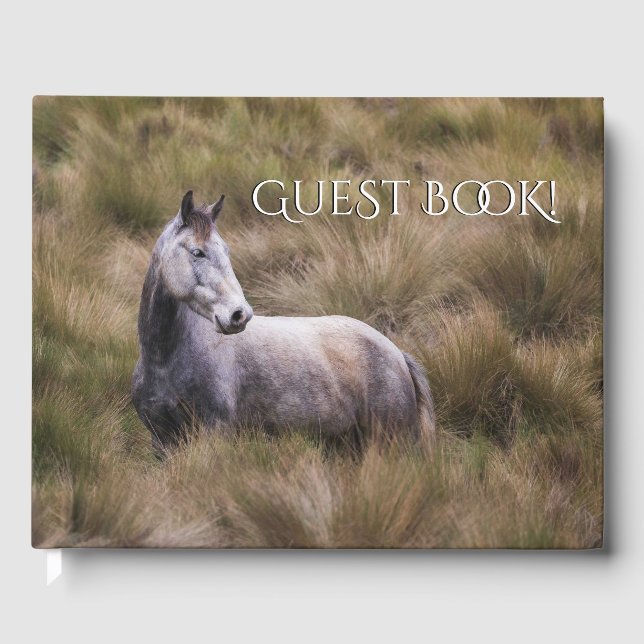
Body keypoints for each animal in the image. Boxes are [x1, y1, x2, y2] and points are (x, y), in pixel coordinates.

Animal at [131, 191, 435, 453]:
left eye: (227, 251)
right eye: (197, 252)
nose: (239, 314)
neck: (164, 360)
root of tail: (396, 353)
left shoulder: (214, 433)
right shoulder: (162, 441)